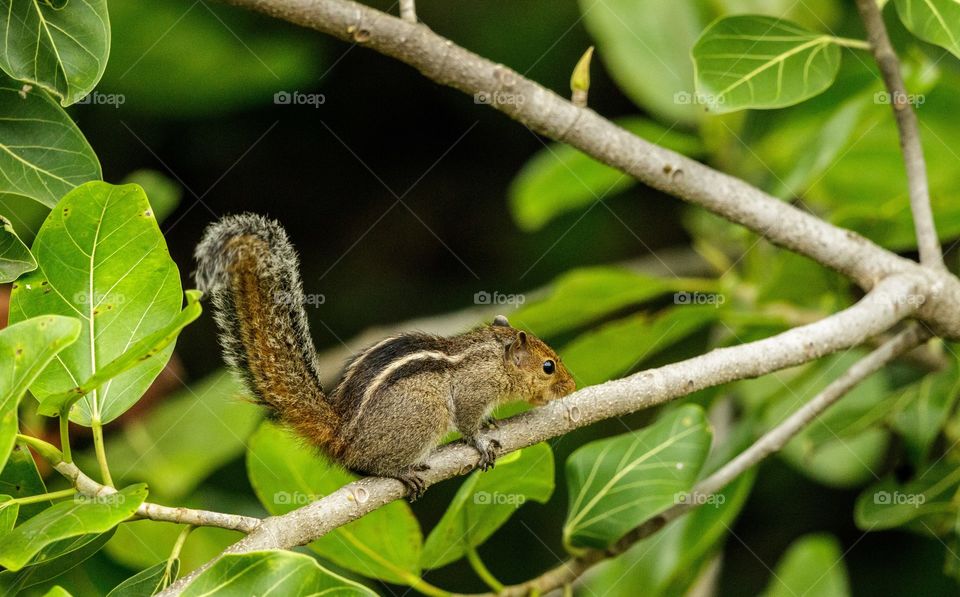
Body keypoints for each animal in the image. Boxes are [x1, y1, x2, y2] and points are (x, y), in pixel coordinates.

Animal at [194, 214, 576, 499]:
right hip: (425, 414)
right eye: (548, 367)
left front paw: (491, 422)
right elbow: (468, 423)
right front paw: (480, 440)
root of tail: (342, 435)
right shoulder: (473, 390)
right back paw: (400, 471)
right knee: (367, 463)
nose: (571, 386)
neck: (495, 357)